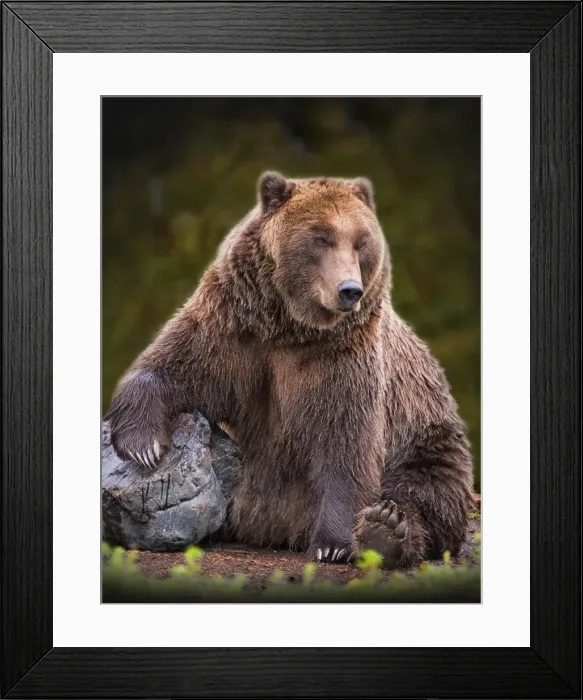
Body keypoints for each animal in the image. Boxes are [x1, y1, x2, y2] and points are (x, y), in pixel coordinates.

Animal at [106, 172, 475, 568]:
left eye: (361, 242)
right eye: (320, 237)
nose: (350, 290)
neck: (291, 328)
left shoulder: (342, 358)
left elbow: (345, 442)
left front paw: (334, 543)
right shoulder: (235, 328)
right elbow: (176, 367)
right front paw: (142, 446)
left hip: (423, 431)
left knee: (431, 488)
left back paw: (387, 527)